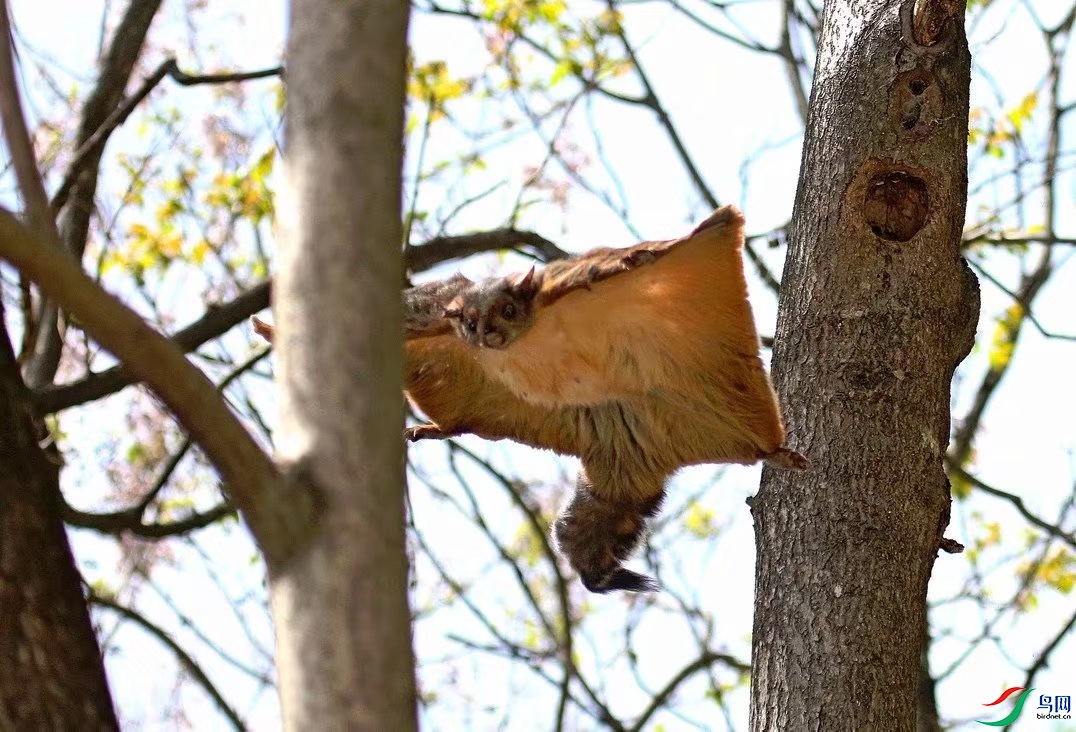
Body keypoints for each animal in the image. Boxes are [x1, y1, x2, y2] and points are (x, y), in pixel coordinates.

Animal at [253, 205, 809, 594]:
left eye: (507, 308)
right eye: (468, 321)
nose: (485, 334)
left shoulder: (564, 280)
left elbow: (606, 264)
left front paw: (653, 249)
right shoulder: (431, 317)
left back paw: (779, 451)